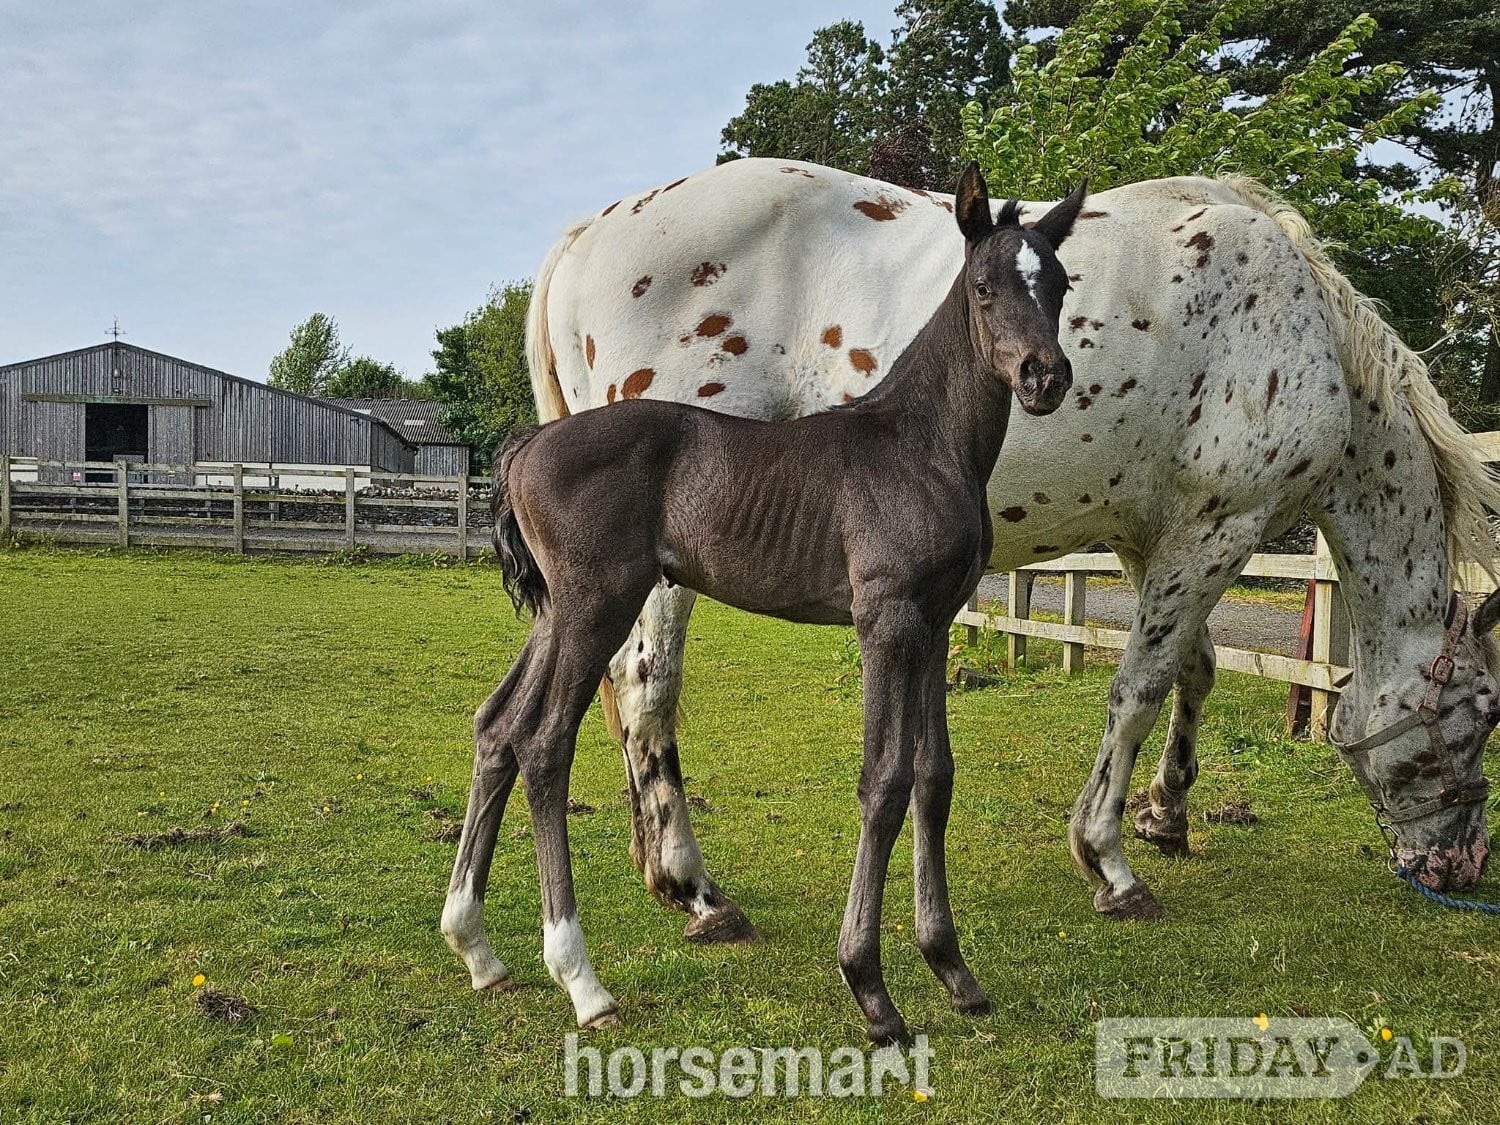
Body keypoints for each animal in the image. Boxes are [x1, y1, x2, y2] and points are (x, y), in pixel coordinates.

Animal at [441, 166, 1088, 1045]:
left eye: (1057, 283)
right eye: (985, 286)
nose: (1043, 377)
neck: (919, 442)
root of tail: (526, 447)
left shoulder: (933, 623)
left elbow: (934, 777)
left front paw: (953, 969)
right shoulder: (885, 620)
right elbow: (884, 779)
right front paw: (870, 989)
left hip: (557, 614)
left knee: (497, 726)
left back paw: (478, 948)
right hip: (596, 605)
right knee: (543, 741)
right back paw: (582, 980)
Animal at [522, 158, 1500, 937]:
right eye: (1483, 717)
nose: (1462, 866)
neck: (1305, 332)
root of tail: (584, 238)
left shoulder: (1159, 533)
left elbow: (1194, 667)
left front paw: (1168, 813)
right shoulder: (1222, 524)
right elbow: (1139, 686)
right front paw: (1108, 857)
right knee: (646, 687)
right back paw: (695, 888)